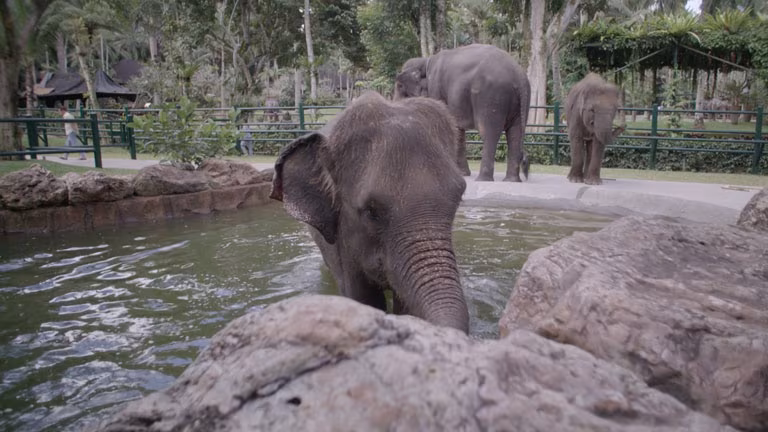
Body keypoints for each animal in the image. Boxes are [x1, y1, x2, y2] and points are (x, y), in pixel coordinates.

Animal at [394, 44, 531, 182]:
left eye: (400, 86)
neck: (425, 61)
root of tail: (519, 75)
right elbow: (456, 129)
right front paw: (462, 174)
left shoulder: (436, 89)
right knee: (515, 134)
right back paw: (511, 180)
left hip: (491, 98)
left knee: (489, 133)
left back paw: (483, 179)